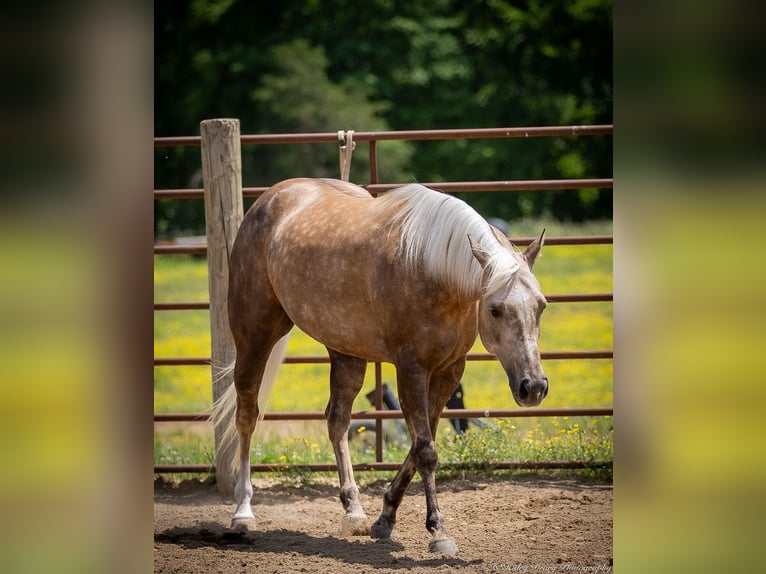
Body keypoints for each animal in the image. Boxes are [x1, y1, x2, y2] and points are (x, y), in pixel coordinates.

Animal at [212, 177, 548, 554]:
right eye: (495, 309)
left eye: (541, 305)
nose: (533, 387)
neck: (432, 267)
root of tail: (271, 199)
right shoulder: (411, 369)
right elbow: (426, 450)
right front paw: (439, 532)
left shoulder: (449, 371)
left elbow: (419, 446)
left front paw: (385, 518)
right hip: (254, 336)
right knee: (247, 416)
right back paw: (243, 513)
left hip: (345, 351)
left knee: (337, 420)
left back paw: (354, 510)